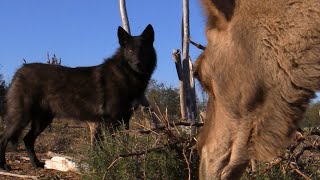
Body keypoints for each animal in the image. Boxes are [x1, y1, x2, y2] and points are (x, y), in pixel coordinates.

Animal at [0, 24, 156, 170]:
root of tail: (20, 70)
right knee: (3, 138)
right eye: (130, 50)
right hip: (21, 118)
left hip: (42, 120)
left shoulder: (124, 120)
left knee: (27, 140)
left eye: (143, 49)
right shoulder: (111, 122)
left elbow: (123, 143)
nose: (139, 64)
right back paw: (4, 166)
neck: (126, 75)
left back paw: (36, 164)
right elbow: (113, 145)